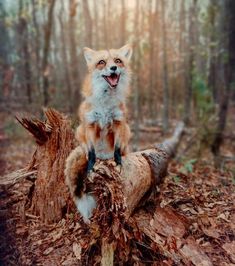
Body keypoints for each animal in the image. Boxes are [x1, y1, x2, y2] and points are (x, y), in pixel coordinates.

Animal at [64, 44, 132, 222]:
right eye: (102, 62)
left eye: (117, 60)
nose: (113, 68)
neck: (106, 101)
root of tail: (104, 156)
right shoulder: (90, 124)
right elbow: (91, 153)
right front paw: (90, 169)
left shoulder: (119, 123)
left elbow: (117, 150)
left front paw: (118, 164)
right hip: (79, 130)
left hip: (127, 129)